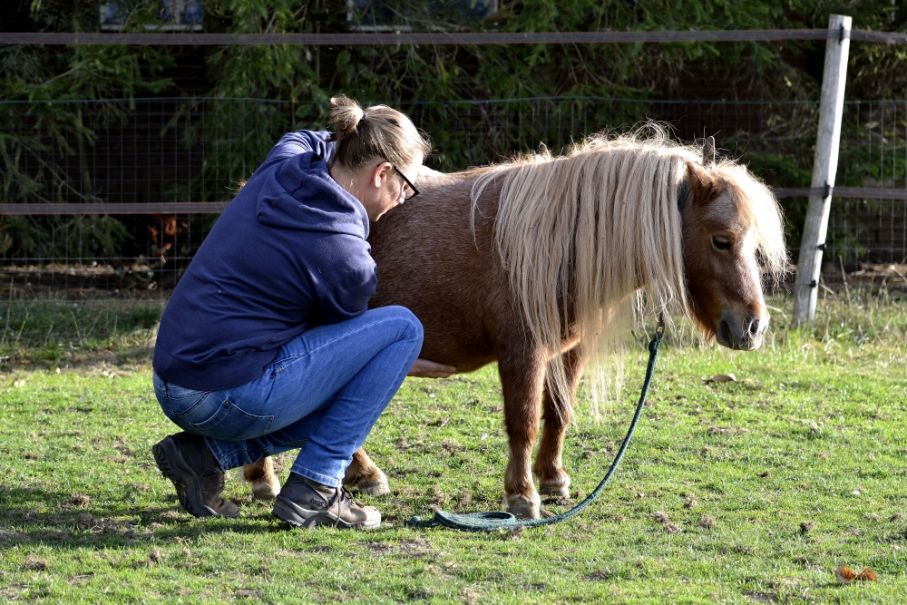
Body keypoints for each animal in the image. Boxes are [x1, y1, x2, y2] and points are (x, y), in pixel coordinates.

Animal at [243, 125, 788, 516]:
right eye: (721, 239)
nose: (753, 326)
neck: (561, 240)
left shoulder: (568, 350)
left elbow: (558, 414)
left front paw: (554, 480)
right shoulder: (522, 353)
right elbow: (523, 421)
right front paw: (522, 496)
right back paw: (265, 478)